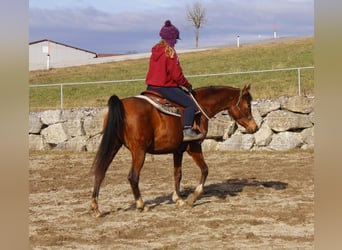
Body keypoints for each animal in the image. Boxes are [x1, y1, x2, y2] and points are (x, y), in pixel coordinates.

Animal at [90, 84, 256, 217]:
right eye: (248, 106)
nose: (254, 127)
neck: (200, 108)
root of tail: (121, 104)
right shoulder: (194, 147)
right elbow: (205, 170)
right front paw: (192, 198)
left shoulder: (177, 151)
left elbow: (178, 174)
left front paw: (178, 198)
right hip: (139, 151)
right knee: (133, 177)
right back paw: (141, 205)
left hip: (113, 145)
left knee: (100, 172)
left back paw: (95, 207)